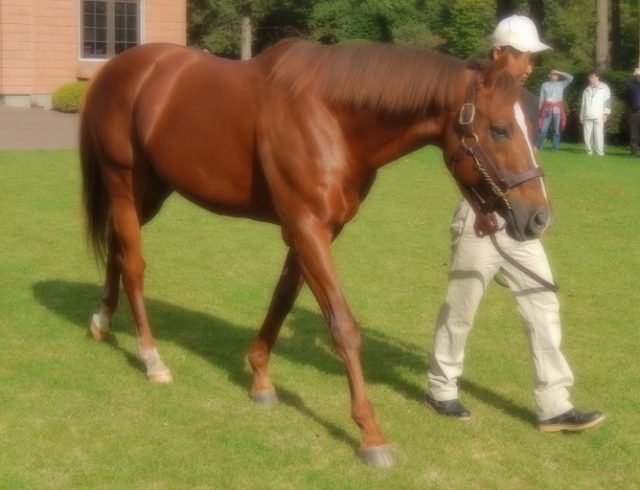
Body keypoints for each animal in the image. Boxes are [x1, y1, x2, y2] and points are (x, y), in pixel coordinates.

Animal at [80, 40, 552, 466]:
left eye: (532, 128)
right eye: (500, 129)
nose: (539, 218)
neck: (330, 117)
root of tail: (118, 68)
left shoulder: (313, 231)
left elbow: (283, 299)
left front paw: (260, 378)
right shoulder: (308, 229)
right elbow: (343, 326)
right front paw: (370, 434)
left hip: (153, 189)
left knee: (119, 248)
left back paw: (102, 320)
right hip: (123, 179)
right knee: (134, 263)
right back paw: (151, 358)